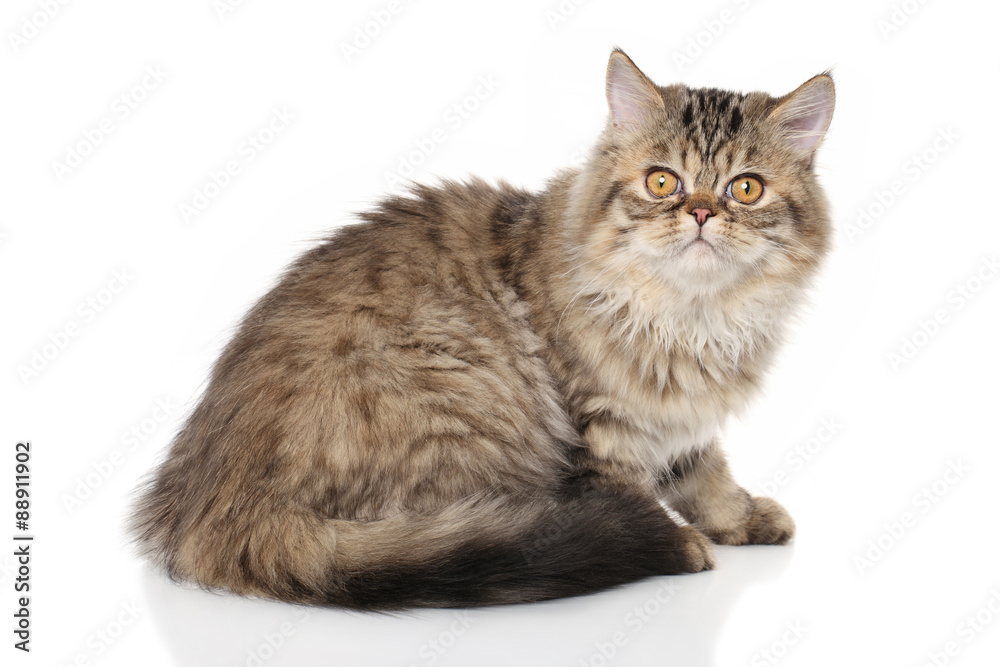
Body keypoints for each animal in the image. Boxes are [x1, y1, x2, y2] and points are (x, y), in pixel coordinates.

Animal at [133, 48, 836, 612]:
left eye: (745, 189)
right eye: (662, 180)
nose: (701, 212)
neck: (692, 317)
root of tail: (211, 511)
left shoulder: (678, 418)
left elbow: (706, 474)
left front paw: (740, 517)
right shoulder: (603, 425)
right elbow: (639, 490)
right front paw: (682, 541)